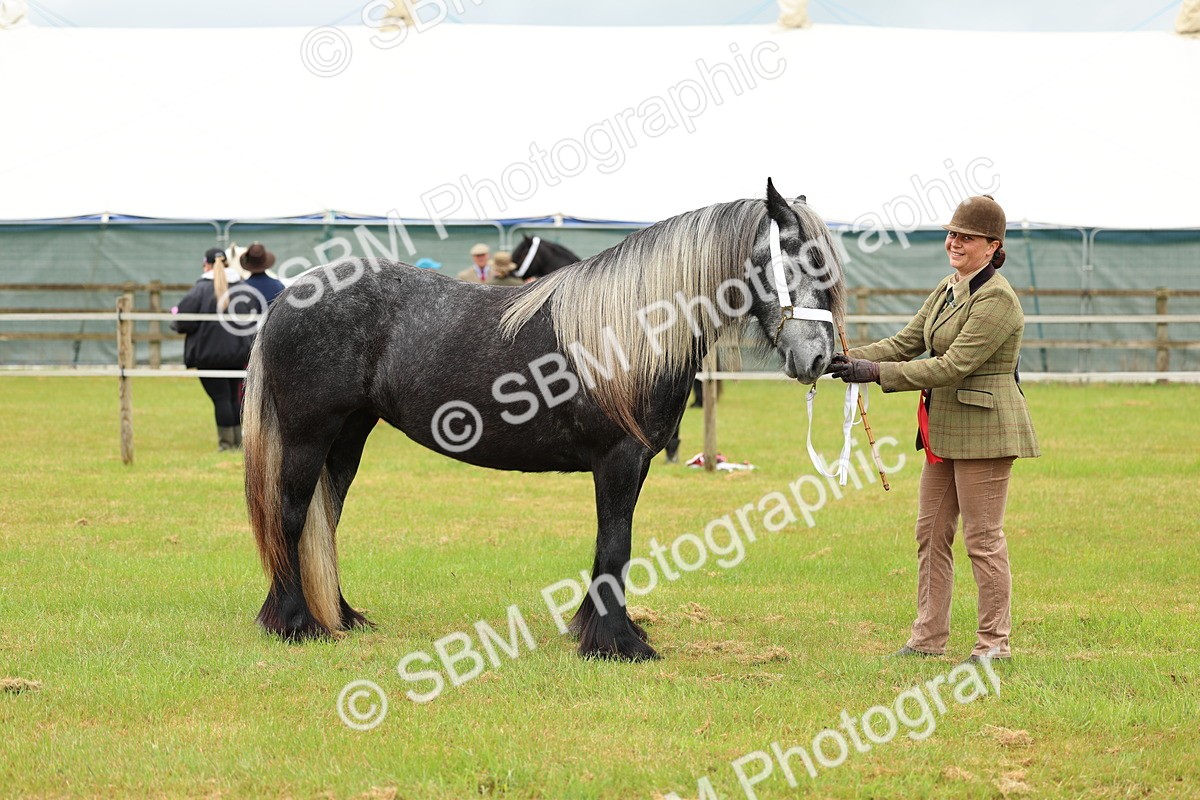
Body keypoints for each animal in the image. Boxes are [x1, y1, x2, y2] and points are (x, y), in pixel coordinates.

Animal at [243, 178, 844, 661]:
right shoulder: (618, 460)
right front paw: (617, 645)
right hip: (307, 436)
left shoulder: (635, 463)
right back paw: (295, 623)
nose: (817, 359)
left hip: (347, 437)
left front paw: (600, 629)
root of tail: (292, 295)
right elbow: (616, 542)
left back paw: (340, 616)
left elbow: (609, 545)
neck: (628, 331)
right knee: (291, 517)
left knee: (325, 519)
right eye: (798, 259)